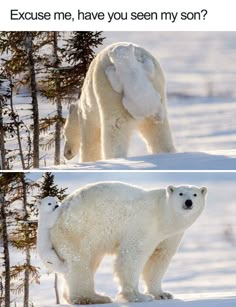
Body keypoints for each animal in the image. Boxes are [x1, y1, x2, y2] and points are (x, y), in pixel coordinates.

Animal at [50, 182, 206, 304]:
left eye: (195, 194)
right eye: (181, 193)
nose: (188, 202)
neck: (163, 215)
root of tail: (61, 209)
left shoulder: (170, 236)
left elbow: (159, 259)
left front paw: (162, 294)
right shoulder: (144, 224)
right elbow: (133, 254)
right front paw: (139, 296)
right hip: (78, 231)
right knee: (80, 264)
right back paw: (94, 297)